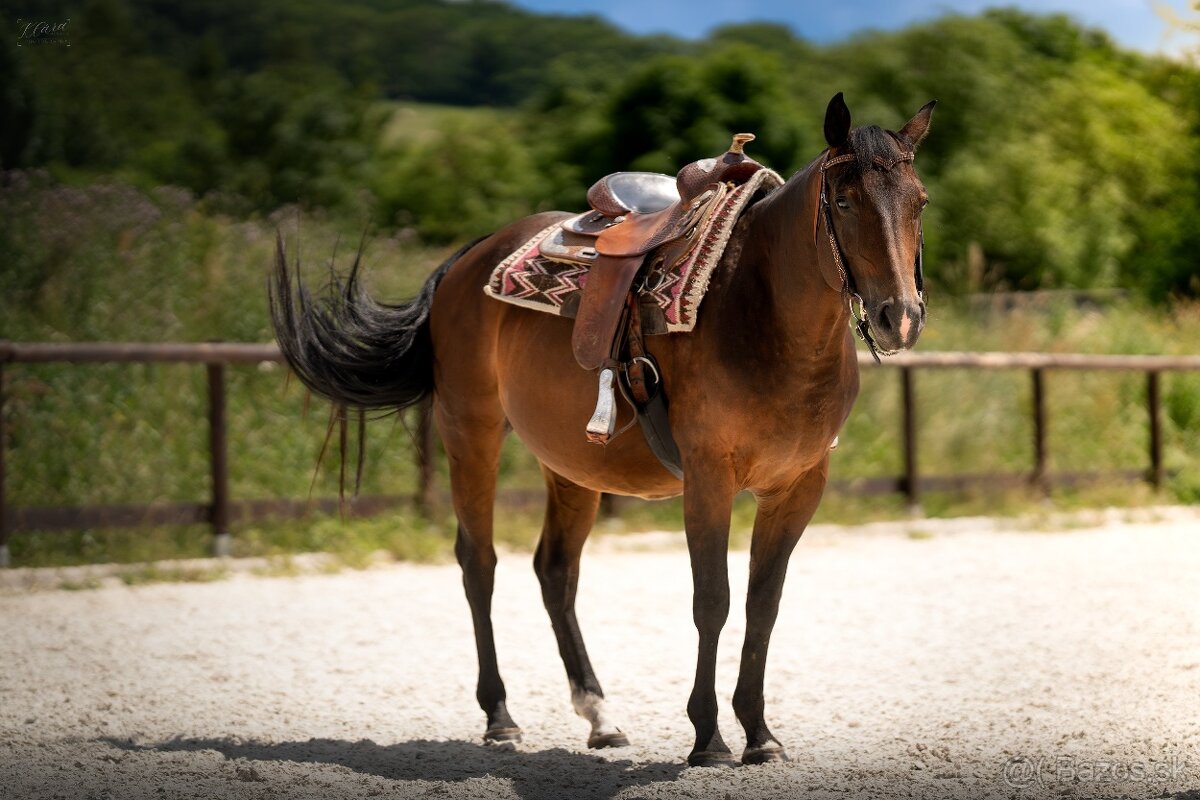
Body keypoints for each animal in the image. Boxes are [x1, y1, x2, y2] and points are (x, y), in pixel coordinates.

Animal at [269, 93, 935, 767]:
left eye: (921, 200)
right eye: (844, 201)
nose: (899, 317)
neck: (762, 311)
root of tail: (468, 260)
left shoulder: (798, 487)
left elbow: (762, 605)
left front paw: (760, 734)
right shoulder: (709, 478)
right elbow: (713, 601)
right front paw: (708, 737)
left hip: (571, 465)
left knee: (555, 571)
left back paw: (599, 715)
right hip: (470, 434)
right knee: (478, 562)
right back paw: (500, 716)